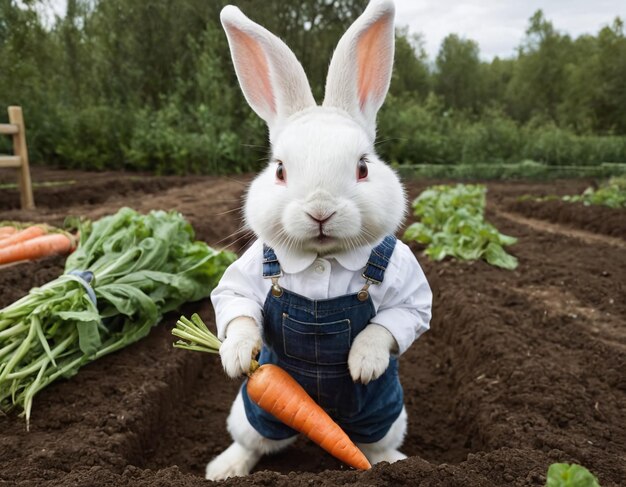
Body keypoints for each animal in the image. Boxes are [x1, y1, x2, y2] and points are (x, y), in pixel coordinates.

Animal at [207, 0, 432, 480]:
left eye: (363, 167)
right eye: (279, 170)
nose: (320, 210)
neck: (322, 258)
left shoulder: (411, 294)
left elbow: (395, 320)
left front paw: (363, 363)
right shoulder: (243, 276)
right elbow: (234, 305)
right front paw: (235, 355)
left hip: (385, 413)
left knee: (372, 442)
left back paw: (393, 463)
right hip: (255, 410)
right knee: (253, 438)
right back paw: (224, 468)